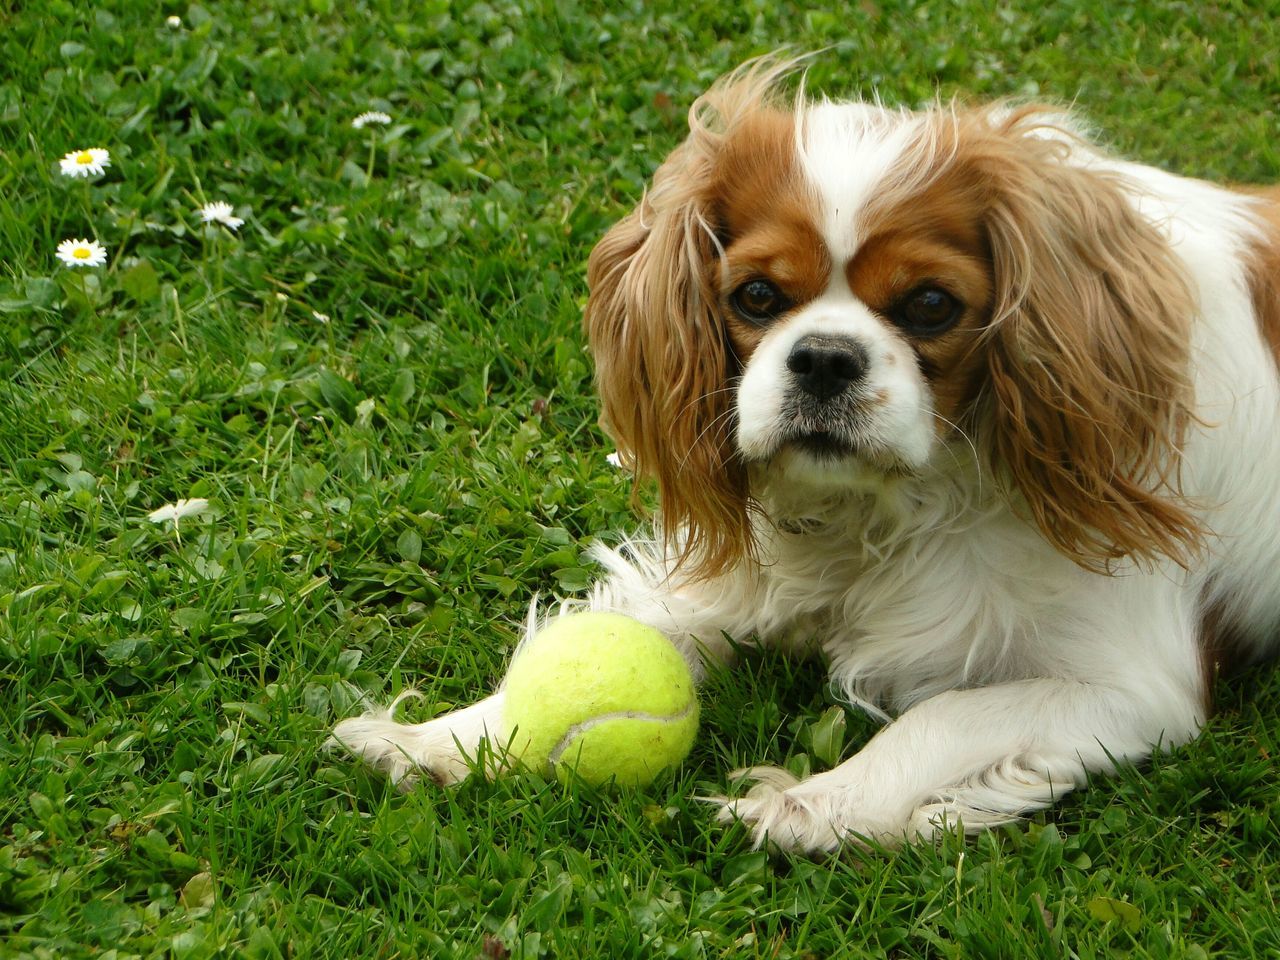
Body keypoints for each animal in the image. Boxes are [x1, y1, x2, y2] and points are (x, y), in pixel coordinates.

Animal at [332, 60, 1280, 855]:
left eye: (931, 305)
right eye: (756, 295)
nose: (824, 357)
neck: (895, 505)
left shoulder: (1127, 688)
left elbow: (941, 721)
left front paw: (812, 803)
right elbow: (627, 634)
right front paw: (453, 737)